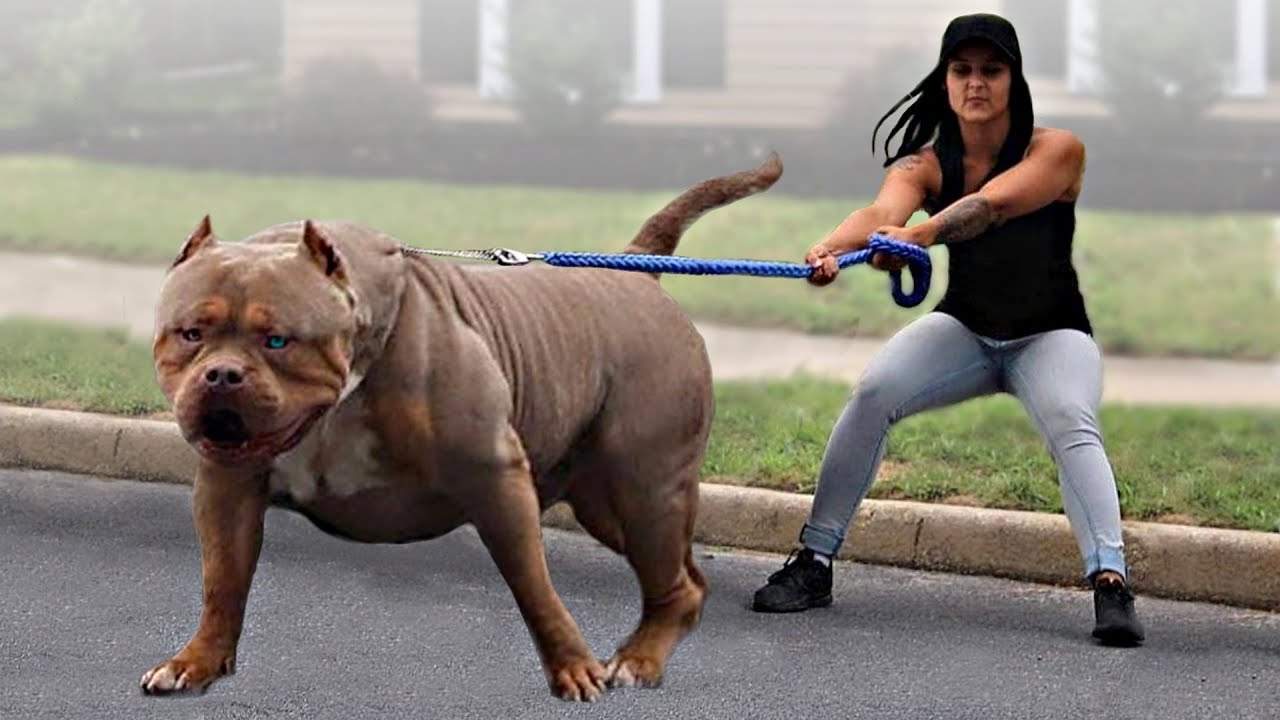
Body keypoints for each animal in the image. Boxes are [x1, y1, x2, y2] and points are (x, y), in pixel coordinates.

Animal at [137, 151, 778, 696]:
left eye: (278, 341)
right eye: (190, 334)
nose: (222, 375)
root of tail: (638, 274)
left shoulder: (496, 479)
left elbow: (536, 586)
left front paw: (573, 668)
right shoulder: (226, 488)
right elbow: (222, 581)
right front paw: (196, 662)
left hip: (646, 490)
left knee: (669, 576)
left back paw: (638, 660)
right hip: (608, 504)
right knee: (685, 575)